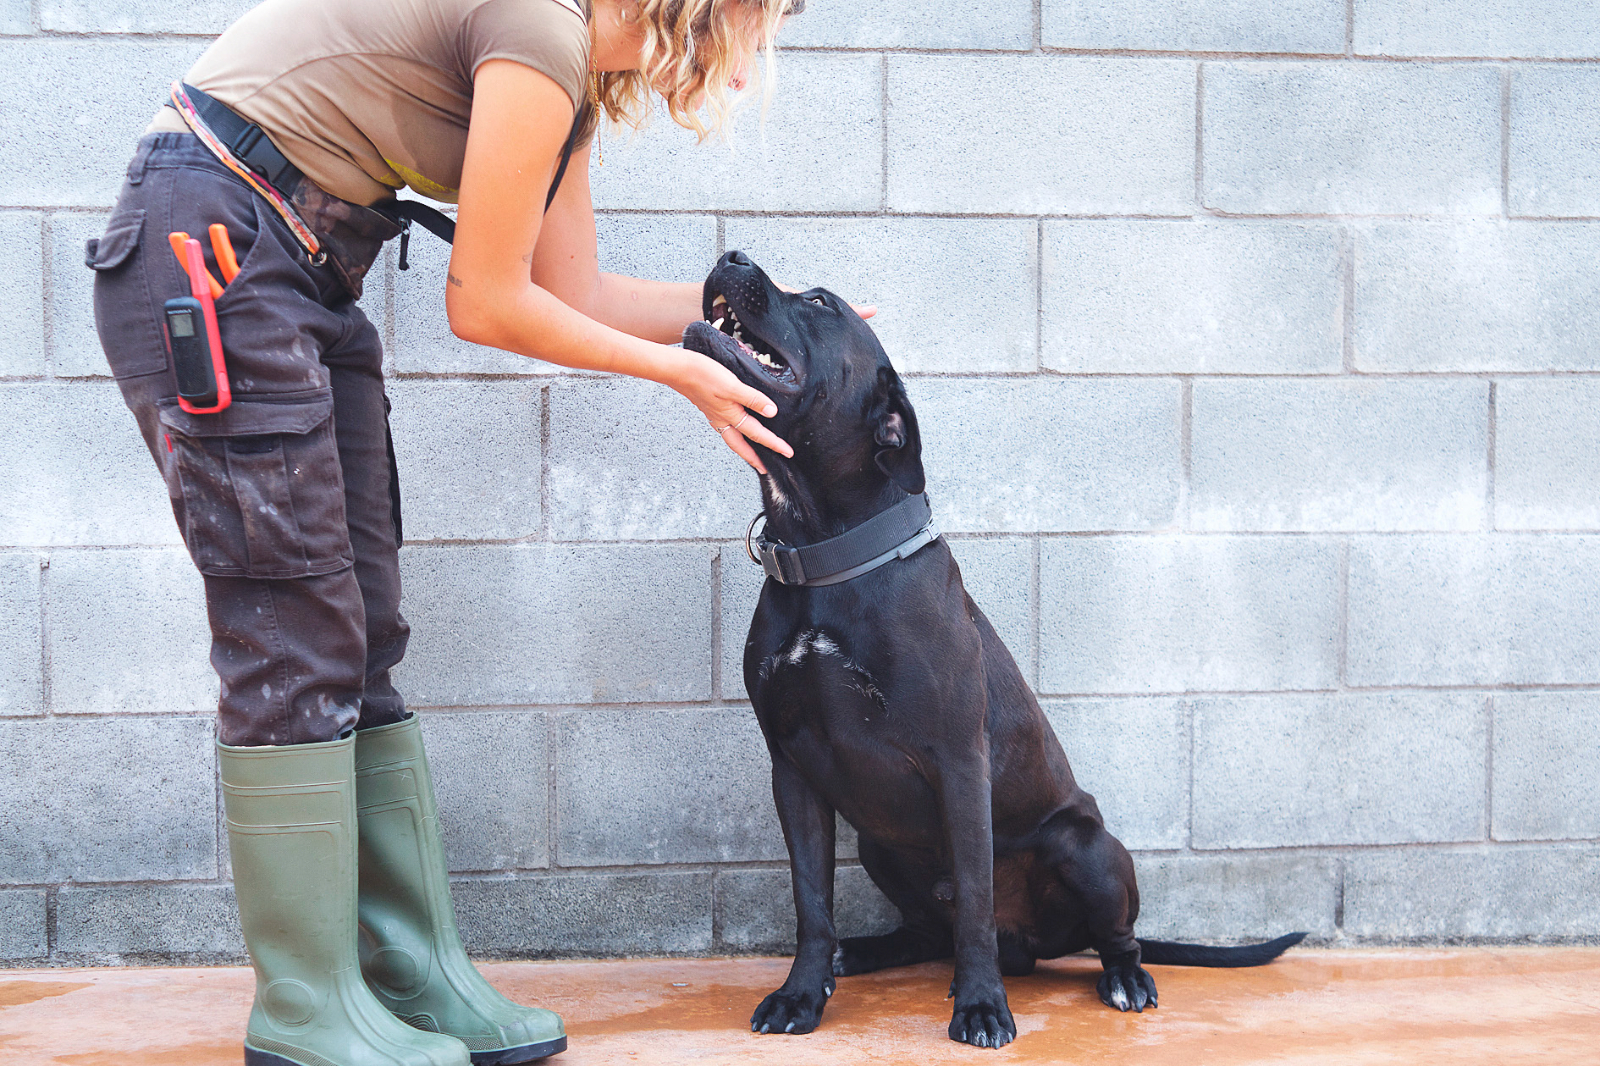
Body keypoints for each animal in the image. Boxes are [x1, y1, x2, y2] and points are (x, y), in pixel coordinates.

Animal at [682, 251, 1305, 1049]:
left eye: (819, 301)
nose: (731, 256)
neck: (829, 558)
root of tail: (1035, 947)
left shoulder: (959, 762)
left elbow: (975, 900)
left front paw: (980, 1008)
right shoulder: (792, 768)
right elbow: (811, 903)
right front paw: (801, 994)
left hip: (1088, 849)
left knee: (1104, 935)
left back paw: (1123, 978)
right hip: (881, 844)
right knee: (928, 932)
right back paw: (863, 953)